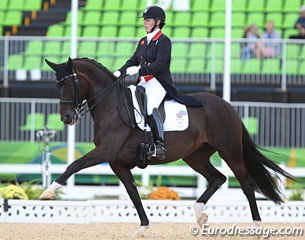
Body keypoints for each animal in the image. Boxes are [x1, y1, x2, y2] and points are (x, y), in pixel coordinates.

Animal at [39, 57, 292, 236]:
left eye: (69, 83)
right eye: (56, 85)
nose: (67, 118)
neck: (111, 105)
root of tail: (227, 106)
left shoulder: (105, 152)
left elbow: (74, 164)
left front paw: (48, 192)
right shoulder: (117, 163)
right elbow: (133, 193)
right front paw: (143, 227)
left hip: (230, 151)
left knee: (246, 184)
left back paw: (256, 227)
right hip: (195, 156)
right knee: (218, 178)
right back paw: (200, 215)